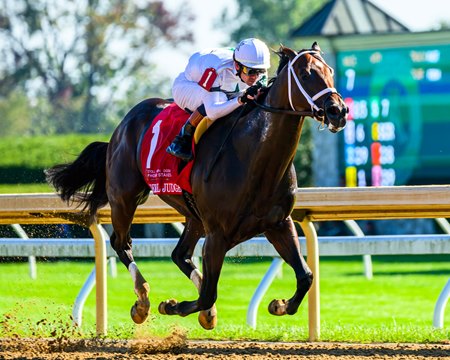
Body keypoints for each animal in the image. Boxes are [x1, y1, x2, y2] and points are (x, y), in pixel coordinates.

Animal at [46, 42, 348, 330]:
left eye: (331, 71)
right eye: (306, 74)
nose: (338, 111)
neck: (255, 157)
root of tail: (122, 126)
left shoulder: (279, 223)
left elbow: (306, 276)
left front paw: (280, 305)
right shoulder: (217, 234)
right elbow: (208, 294)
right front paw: (172, 306)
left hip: (194, 215)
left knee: (179, 254)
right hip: (124, 197)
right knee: (122, 243)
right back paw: (142, 300)